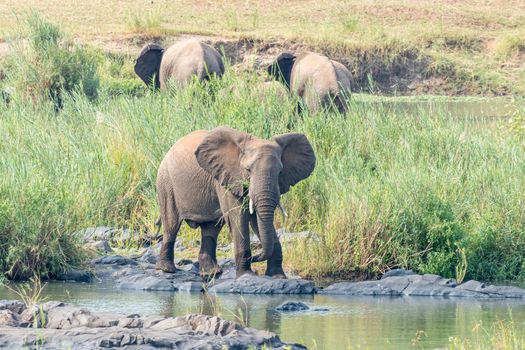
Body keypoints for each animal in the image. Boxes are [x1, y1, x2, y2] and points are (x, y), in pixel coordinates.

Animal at [154, 126, 314, 278]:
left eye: (280, 171)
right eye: (248, 170)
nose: (255, 258)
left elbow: (257, 219)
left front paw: (278, 276)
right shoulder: (226, 178)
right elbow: (238, 217)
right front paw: (246, 276)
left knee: (211, 229)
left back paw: (211, 273)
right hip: (166, 182)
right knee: (171, 224)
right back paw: (167, 269)